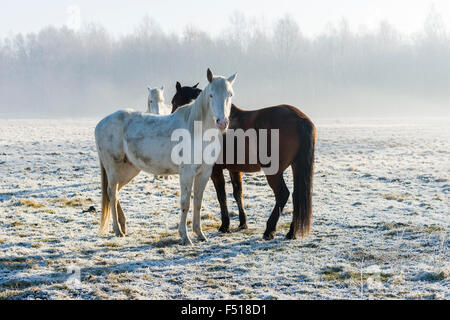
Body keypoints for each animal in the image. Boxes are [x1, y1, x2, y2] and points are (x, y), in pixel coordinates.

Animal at [95, 69, 239, 245]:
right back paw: (117, 230)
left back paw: (123, 226)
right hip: (114, 169)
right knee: (111, 193)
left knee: (115, 193)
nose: (222, 122)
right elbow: (185, 203)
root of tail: (100, 123)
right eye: (211, 95)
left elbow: (198, 202)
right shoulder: (186, 174)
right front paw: (185, 237)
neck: (196, 131)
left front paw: (200, 234)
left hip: (129, 170)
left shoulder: (204, 173)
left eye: (230, 94)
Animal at [171, 82, 316, 240]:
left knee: (282, 194)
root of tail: (300, 118)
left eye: (174, 102)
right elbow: (237, 193)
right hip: (296, 166)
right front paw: (242, 223)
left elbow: (221, 195)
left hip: (274, 171)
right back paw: (291, 232)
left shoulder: (215, 170)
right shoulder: (235, 169)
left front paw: (225, 225)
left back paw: (270, 229)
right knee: (297, 196)